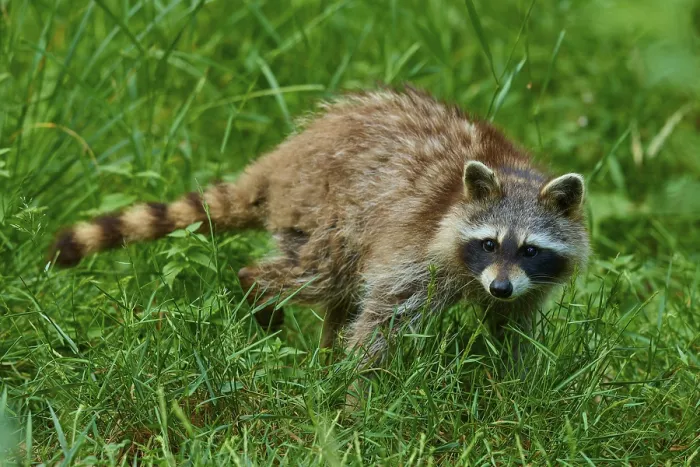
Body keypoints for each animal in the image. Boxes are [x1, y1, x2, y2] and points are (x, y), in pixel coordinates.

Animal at [50, 86, 590, 365]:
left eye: (529, 250)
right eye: (489, 243)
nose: (499, 287)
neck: (511, 172)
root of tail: (284, 159)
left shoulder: (529, 283)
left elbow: (512, 328)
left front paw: (511, 378)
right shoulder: (419, 250)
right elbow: (383, 321)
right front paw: (359, 399)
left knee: (342, 293)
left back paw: (325, 351)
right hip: (327, 211)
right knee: (319, 274)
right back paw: (261, 292)